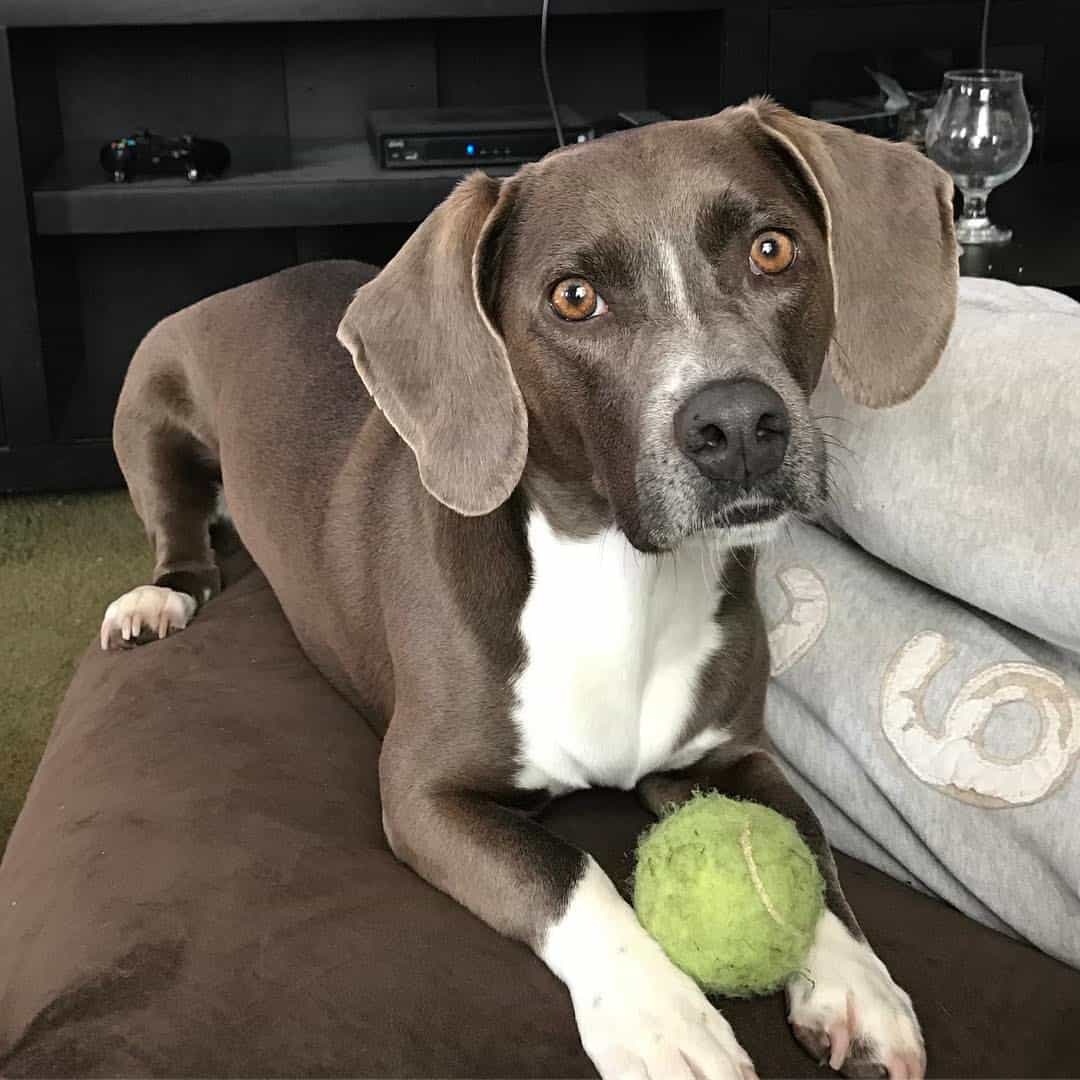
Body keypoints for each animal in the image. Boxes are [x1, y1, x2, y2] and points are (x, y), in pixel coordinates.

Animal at [101, 99, 959, 1071]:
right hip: (149, 412)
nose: (739, 424)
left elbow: (809, 842)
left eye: (772, 249)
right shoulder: (423, 794)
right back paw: (158, 598)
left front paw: (860, 986)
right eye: (573, 298)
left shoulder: (732, 756)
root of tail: (242, 286)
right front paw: (664, 1018)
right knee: (180, 535)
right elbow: (569, 872)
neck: (624, 587)